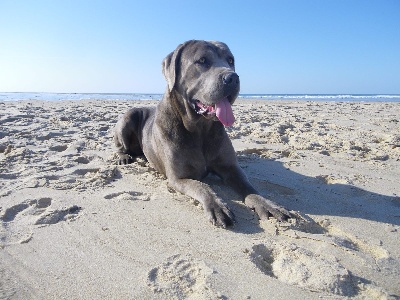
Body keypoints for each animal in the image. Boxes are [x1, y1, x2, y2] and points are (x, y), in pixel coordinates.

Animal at [114, 40, 292, 227]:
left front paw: (266, 204)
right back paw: (123, 157)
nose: (233, 78)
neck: (201, 130)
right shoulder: (178, 178)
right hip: (128, 117)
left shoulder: (230, 167)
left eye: (230, 60)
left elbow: (248, 185)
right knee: (120, 144)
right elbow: (202, 186)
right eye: (202, 60)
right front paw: (217, 207)